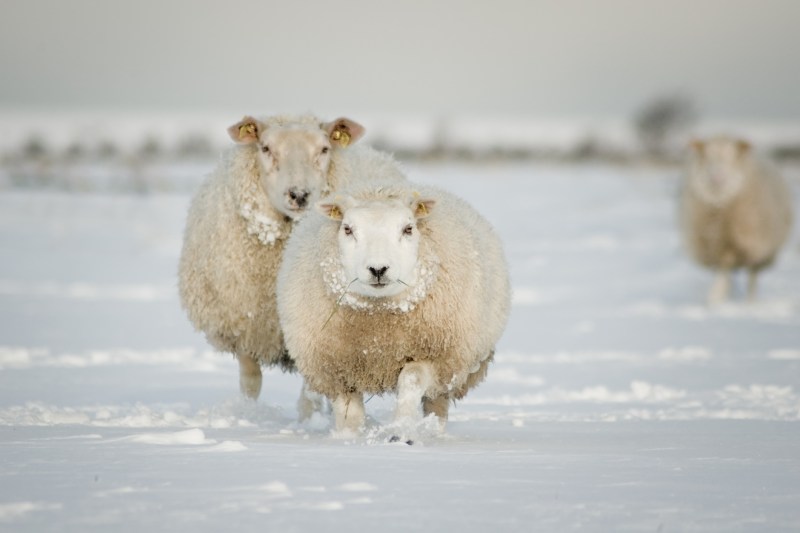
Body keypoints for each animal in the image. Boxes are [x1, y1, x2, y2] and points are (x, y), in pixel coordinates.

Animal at [178, 113, 368, 417]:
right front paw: (247, 412)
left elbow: (309, 390)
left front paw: (306, 418)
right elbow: (250, 380)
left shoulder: (310, 326)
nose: (299, 195)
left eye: (324, 149)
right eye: (265, 148)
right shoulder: (244, 322)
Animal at [276, 177, 511, 437]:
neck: (379, 336)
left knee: (436, 404)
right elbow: (349, 412)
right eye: (347, 229)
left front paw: (402, 430)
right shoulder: (336, 368)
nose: (378, 269)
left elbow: (411, 380)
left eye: (408, 229)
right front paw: (349, 437)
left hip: (453, 365)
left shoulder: (433, 356)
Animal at [680, 137, 794, 304]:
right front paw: (716, 297)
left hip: (758, 249)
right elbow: (721, 269)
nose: (716, 178)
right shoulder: (715, 246)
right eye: (707, 157)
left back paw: (750, 302)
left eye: (731, 157)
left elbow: (727, 266)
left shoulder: (740, 243)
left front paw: (716, 298)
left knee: (752, 275)